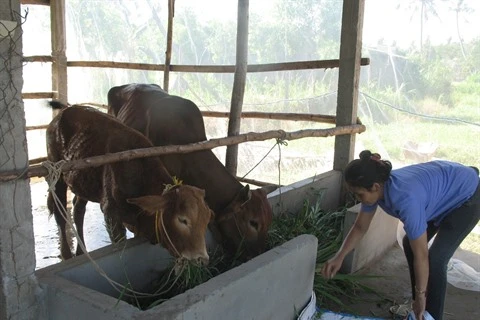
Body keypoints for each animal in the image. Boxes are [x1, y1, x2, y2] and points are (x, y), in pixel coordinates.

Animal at [45, 102, 214, 262]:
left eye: (207, 219)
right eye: (182, 220)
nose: (201, 258)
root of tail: (64, 111)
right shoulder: (111, 215)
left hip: (83, 182)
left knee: (78, 210)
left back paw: (81, 251)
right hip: (57, 174)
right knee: (60, 213)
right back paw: (66, 254)